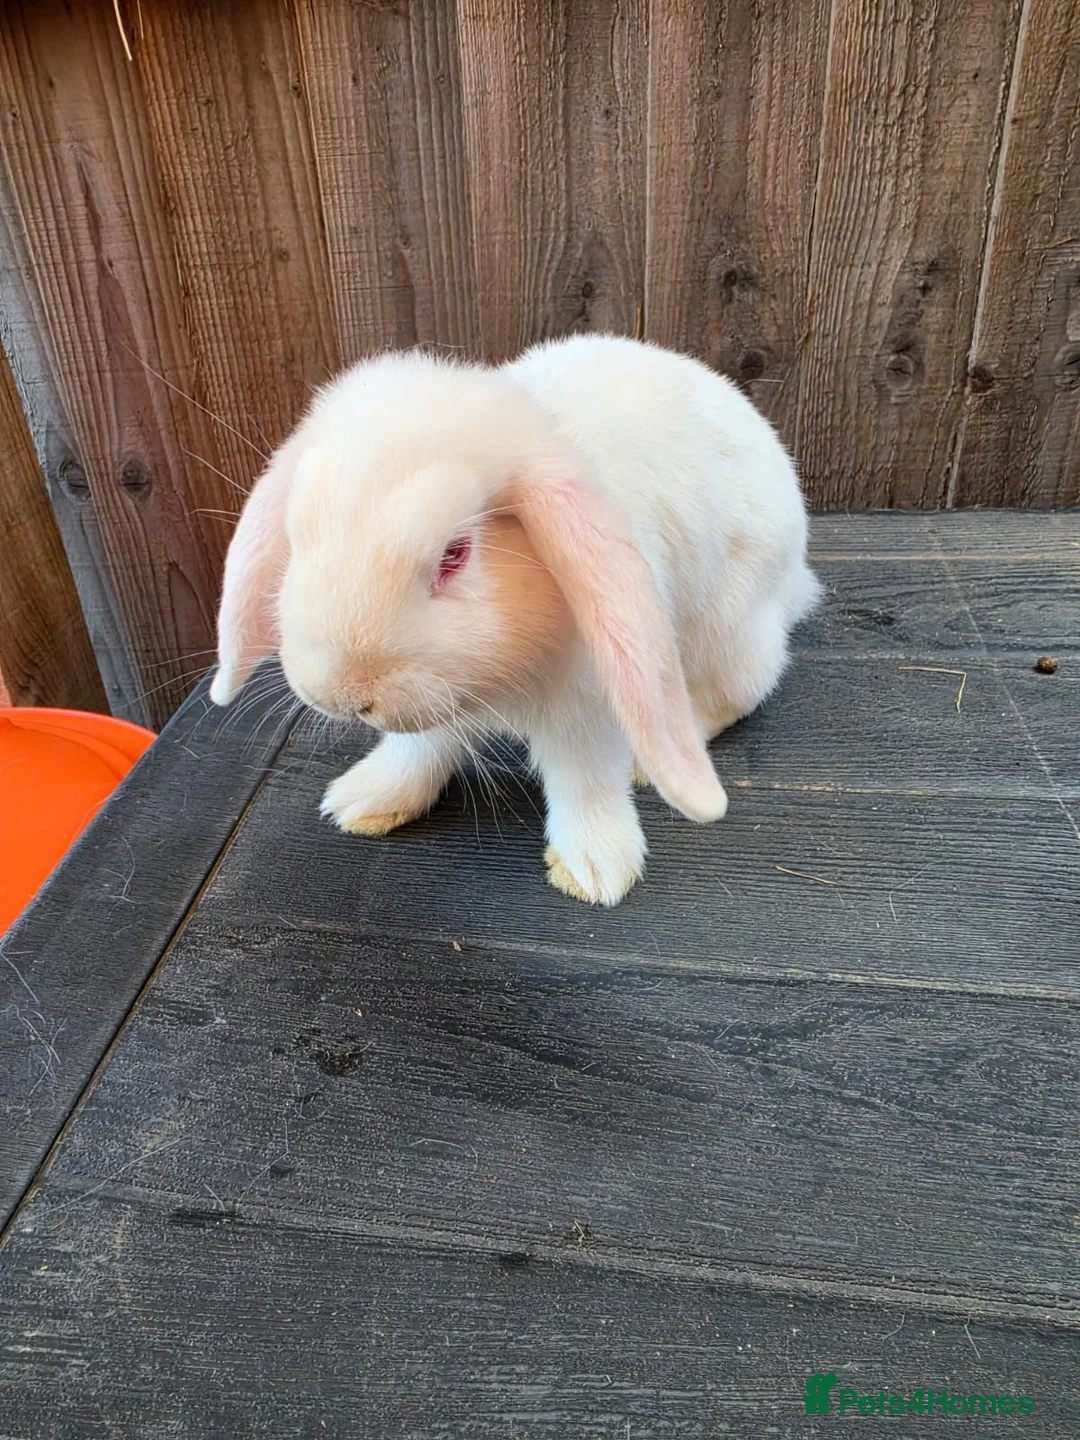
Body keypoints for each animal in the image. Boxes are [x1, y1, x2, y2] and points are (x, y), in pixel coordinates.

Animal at [210, 334, 819, 905]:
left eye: (455, 555)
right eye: (298, 537)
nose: (339, 695)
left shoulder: (588, 705)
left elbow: (585, 781)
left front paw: (593, 869)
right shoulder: (438, 705)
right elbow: (418, 749)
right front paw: (364, 801)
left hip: (731, 630)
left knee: (736, 694)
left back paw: (652, 760)